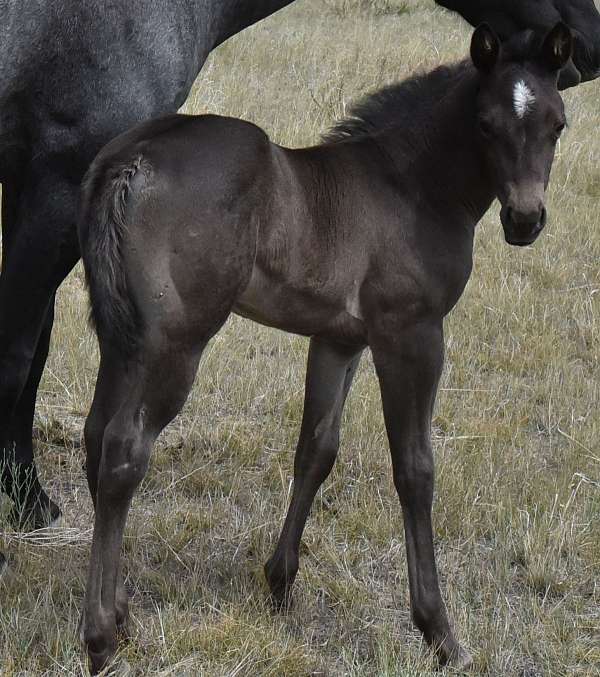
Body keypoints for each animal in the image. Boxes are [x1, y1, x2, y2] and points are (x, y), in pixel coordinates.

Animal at [77, 21, 572, 673]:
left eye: (557, 124)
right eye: (486, 124)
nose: (524, 220)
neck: (412, 186)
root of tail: (131, 157)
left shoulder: (338, 339)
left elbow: (316, 448)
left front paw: (280, 583)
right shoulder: (410, 335)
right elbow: (415, 469)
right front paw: (439, 632)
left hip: (122, 336)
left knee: (95, 435)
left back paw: (122, 612)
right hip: (177, 342)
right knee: (125, 449)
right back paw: (101, 638)